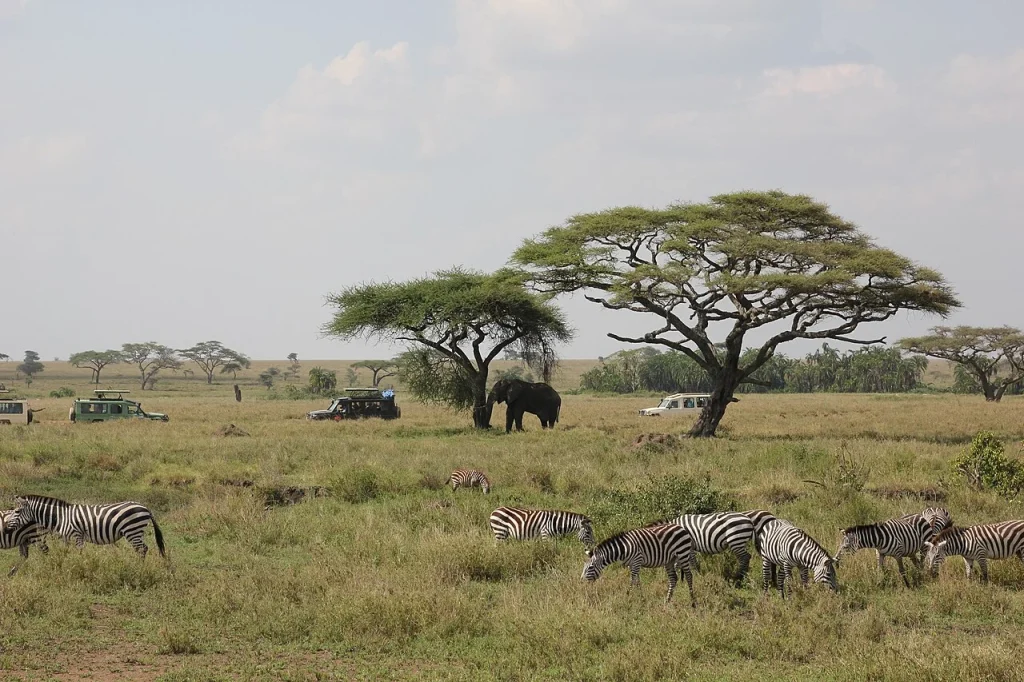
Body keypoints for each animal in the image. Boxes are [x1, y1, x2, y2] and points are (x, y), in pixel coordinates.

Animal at [5, 495, 166, 560]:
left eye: (17, 511)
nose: (6, 529)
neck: (62, 517)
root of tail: (145, 507)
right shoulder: (66, 538)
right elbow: (66, 552)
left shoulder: (77, 535)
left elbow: (80, 553)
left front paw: (81, 566)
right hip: (136, 531)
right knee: (143, 548)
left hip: (132, 530)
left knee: (141, 549)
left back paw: (139, 568)